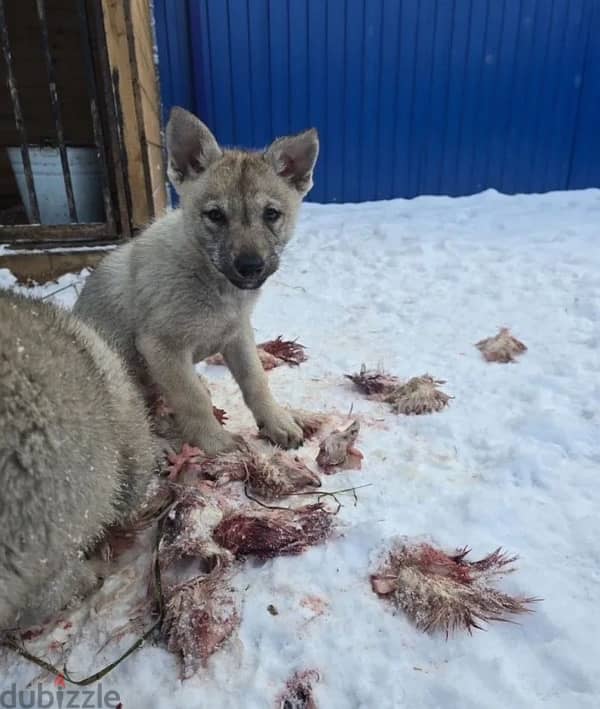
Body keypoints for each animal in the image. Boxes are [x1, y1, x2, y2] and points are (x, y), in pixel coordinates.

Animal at [74, 108, 318, 456]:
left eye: (271, 214)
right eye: (215, 215)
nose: (250, 267)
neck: (213, 285)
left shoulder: (238, 336)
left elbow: (256, 381)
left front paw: (276, 421)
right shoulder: (163, 347)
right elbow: (193, 399)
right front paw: (216, 443)